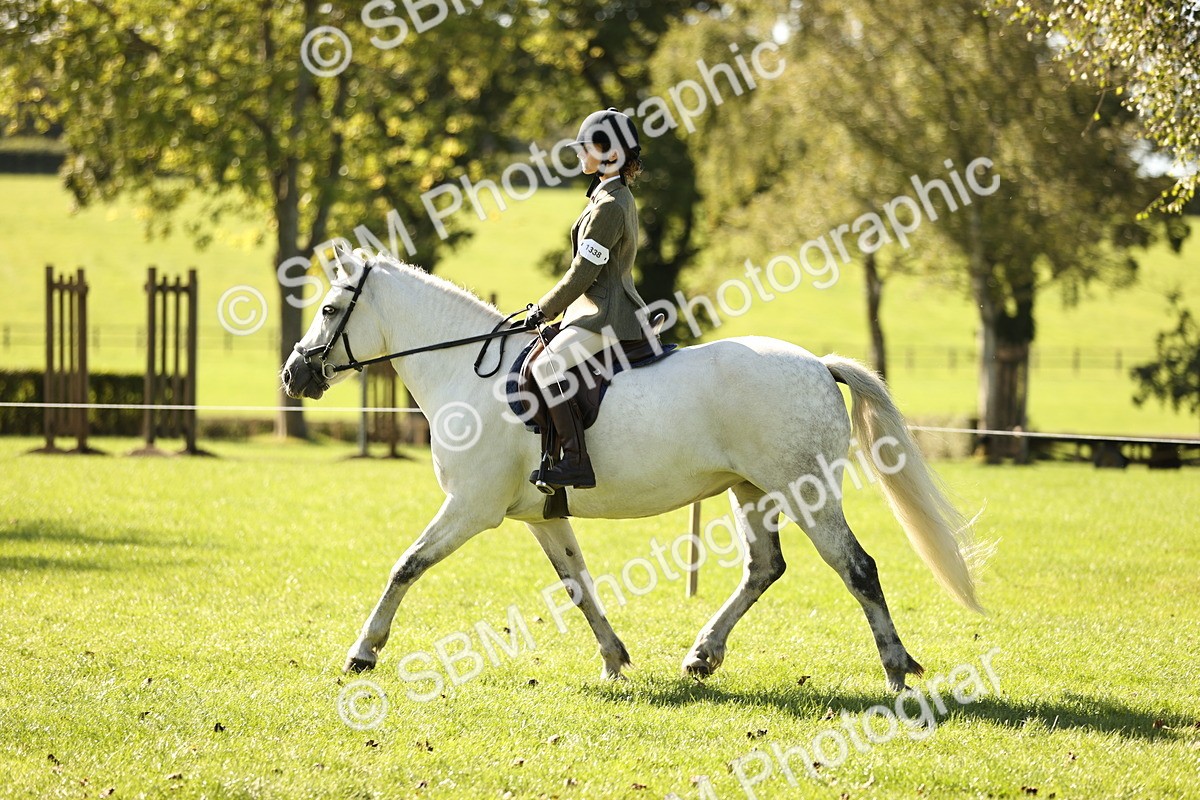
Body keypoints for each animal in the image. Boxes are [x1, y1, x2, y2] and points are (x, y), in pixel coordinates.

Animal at [280, 249, 986, 692]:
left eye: (328, 310)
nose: (294, 375)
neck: (469, 374)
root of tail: (818, 363)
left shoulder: (470, 509)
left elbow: (406, 566)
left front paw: (363, 651)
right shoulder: (541, 516)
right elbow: (578, 585)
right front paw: (615, 660)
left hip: (804, 492)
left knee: (856, 568)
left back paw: (896, 668)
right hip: (752, 491)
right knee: (765, 567)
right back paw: (703, 655)